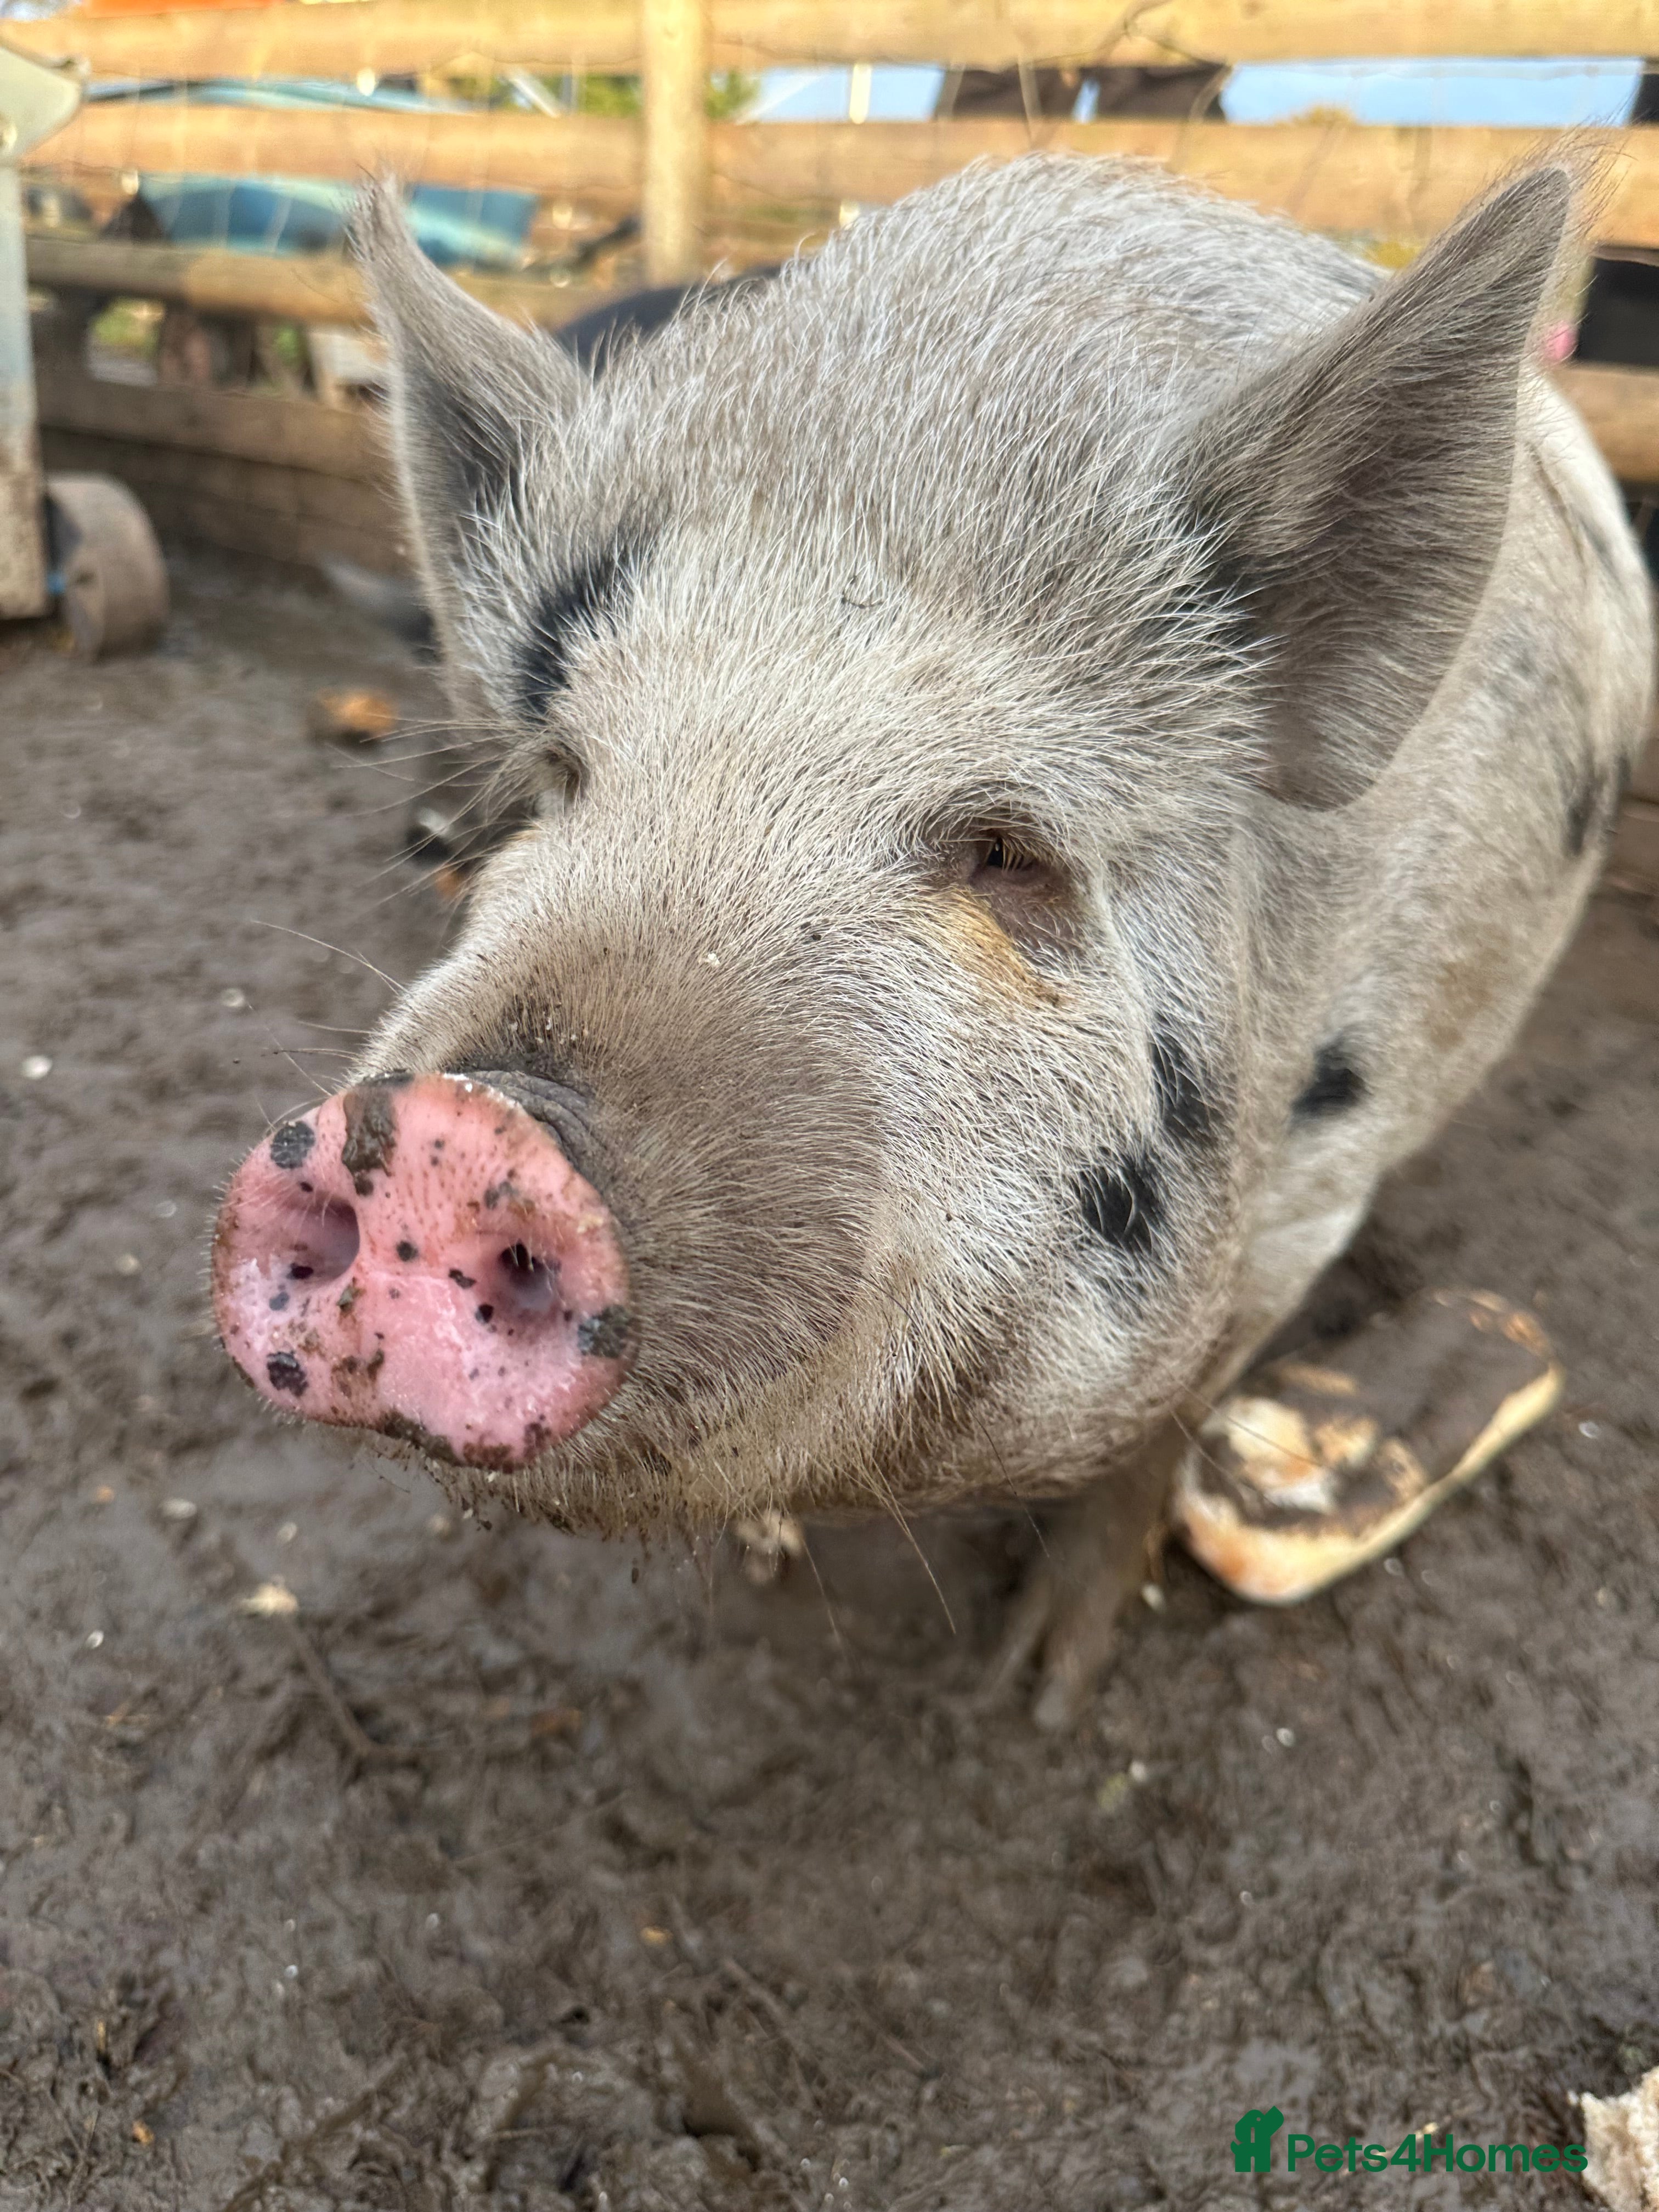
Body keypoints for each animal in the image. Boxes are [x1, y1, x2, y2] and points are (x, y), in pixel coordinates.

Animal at [213, 155, 1653, 1723]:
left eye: (1007, 851)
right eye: (562, 778)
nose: (449, 1124)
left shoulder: (1325, 1166)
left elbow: (1186, 1404)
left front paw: (1035, 1692)